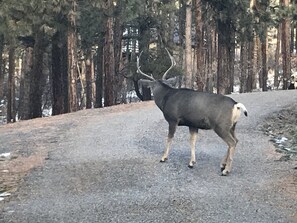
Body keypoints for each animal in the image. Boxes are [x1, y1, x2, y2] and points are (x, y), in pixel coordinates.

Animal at [137, 48, 247, 176]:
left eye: (152, 87)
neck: (165, 98)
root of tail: (236, 105)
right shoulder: (193, 123)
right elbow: (192, 141)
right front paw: (191, 162)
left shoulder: (173, 119)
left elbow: (169, 138)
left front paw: (163, 157)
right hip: (232, 126)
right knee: (236, 140)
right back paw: (222, 165)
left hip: (221, 125)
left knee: (232, 142)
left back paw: (226, 170)